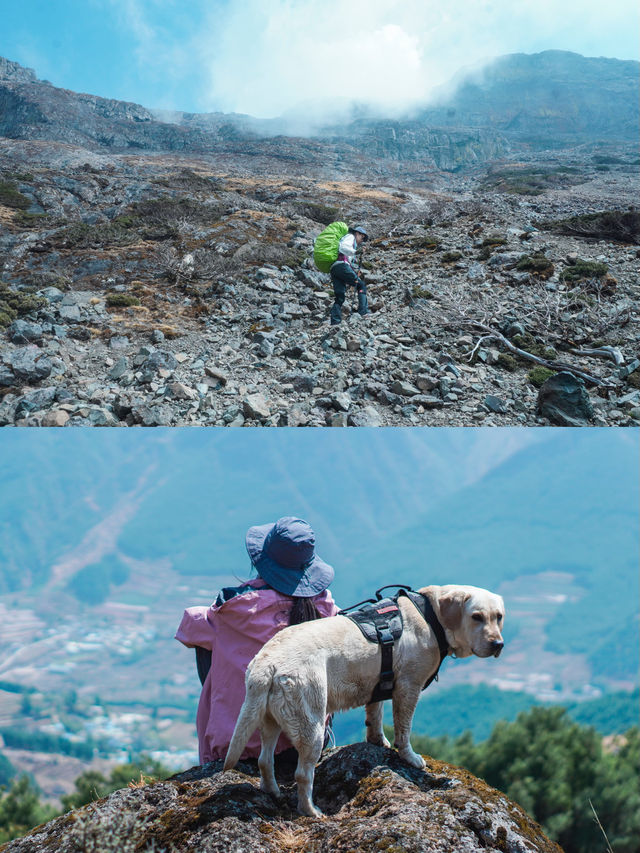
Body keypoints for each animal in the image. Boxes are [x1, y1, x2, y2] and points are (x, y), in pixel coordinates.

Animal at [222, 584, 502, 816]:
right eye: (476, 617)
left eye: (498, 616)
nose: (498, 643)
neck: (430, 615)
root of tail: (266, 663)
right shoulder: (408, 688)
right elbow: (404, 730)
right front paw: (410, 757)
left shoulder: (380, 684)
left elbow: (374, 716)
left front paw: (378, 741)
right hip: (311, 724)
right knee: (302, 774)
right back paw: (310, 810)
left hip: (269, 719)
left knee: (264, 759)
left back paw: (273, 792)